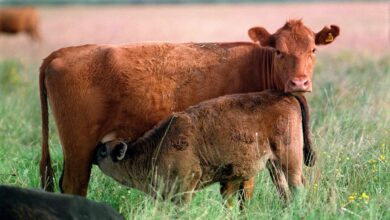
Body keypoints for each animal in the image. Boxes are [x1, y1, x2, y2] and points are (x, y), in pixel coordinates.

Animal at [39, 19, 338, 196]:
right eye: (279, 51)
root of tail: (63, 52)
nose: (299, 82)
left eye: (313, 50)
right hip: (79, 151)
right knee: (74, 186)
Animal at [94, 91, 310, 210]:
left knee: (297, 187)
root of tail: (283, 95)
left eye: (104, 151)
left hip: (290, 161)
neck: (158, 146)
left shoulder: (185, 187)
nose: (94, 154)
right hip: (274, 166)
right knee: (285, 191)